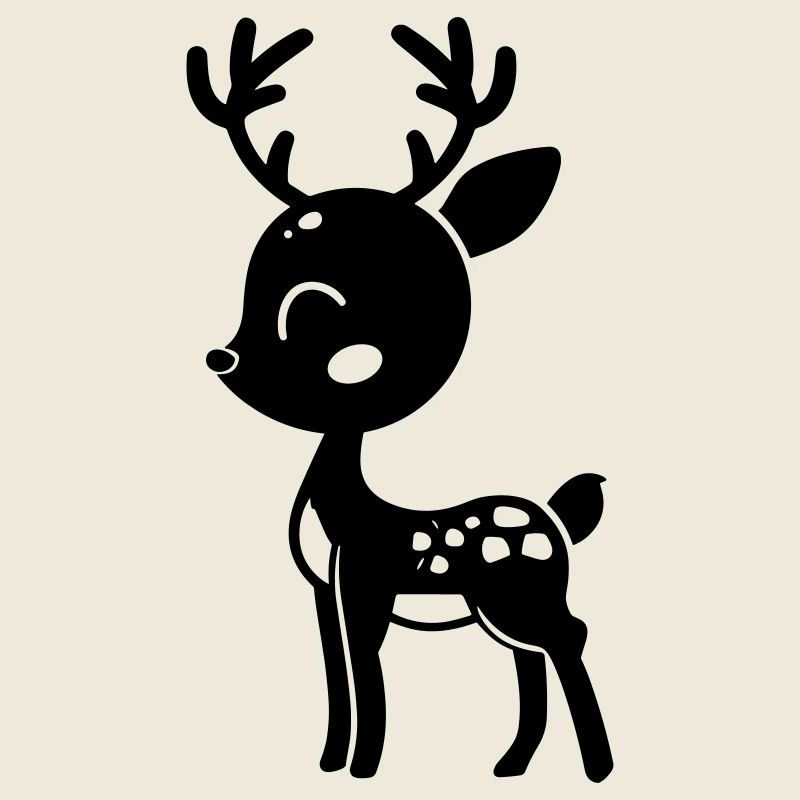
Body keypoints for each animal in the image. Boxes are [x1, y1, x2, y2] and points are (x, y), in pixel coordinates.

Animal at [187, 17, 613, 782]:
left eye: (311, 311)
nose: (223, 358)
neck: (343, 507)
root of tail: (561, 516)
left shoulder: (365, 583)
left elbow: (366, 673)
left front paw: (364, 767)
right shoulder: (323, 592)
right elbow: (337, 674)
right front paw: (330, 763)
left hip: (523, 595)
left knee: (571, 635)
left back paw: (595, 766)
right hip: (492, 607)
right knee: (530, 658)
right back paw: (512, 763)